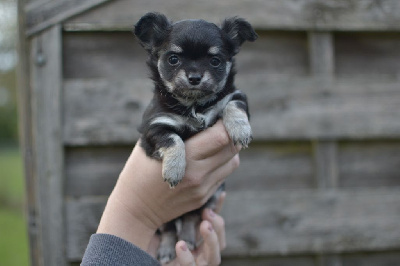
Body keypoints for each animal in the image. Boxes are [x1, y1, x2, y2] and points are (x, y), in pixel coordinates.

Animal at [134, 11, 258, 262]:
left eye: (215, 61)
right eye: (173, 59)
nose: (194, 77)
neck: (193, 105)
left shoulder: (236, 96)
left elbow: (232, 105)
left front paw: (240, 130)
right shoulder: (155, 128)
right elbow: (173, 139)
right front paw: (174, 169)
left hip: (209, 199)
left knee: (191, 217)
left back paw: (189, 239)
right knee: (169, 228)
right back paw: (167, 250)